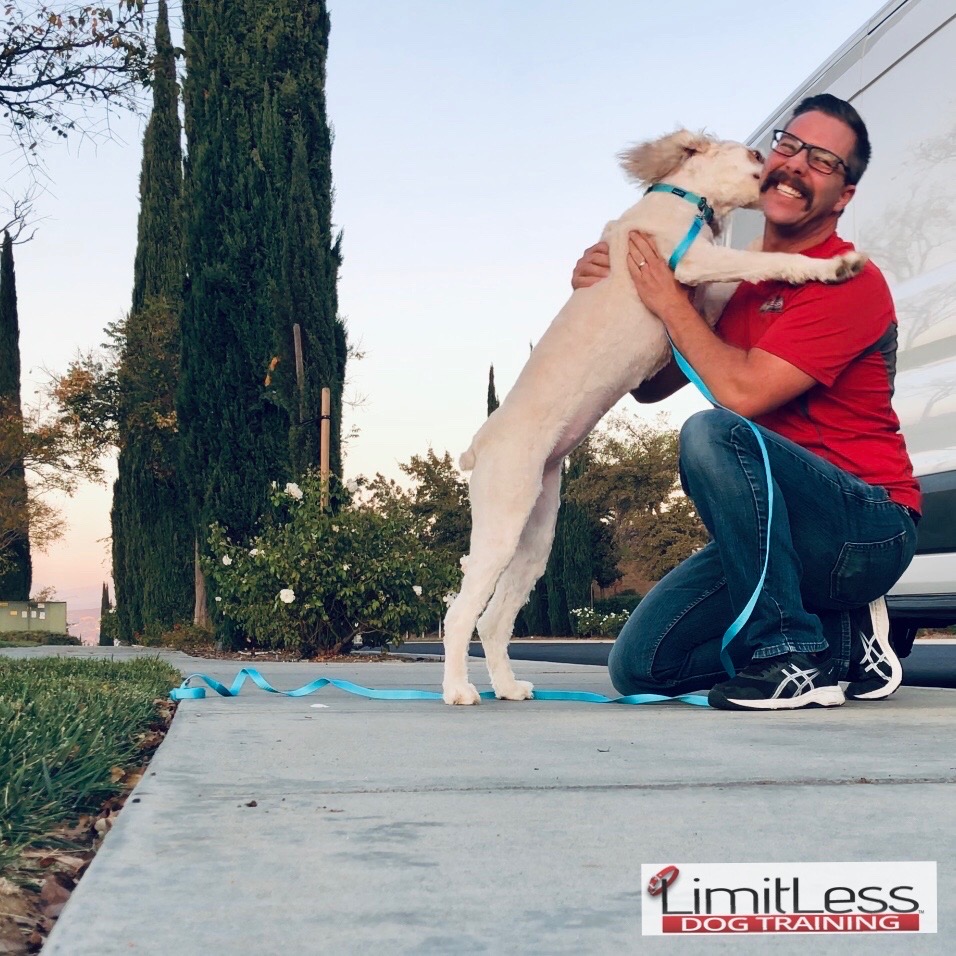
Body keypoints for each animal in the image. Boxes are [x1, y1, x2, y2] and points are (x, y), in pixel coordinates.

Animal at [440, 131, 868, 704]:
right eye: (758, 156)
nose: (779, 169)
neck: (687, 200)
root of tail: (482, 443)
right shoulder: (689, 265)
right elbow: (764, 260)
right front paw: (831, 267)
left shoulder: (701, 297)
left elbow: (748, 268)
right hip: (502, 521)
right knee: (459, 614)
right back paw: (457, 690)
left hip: (536, 534)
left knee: (492, 620)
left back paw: (507, 687)